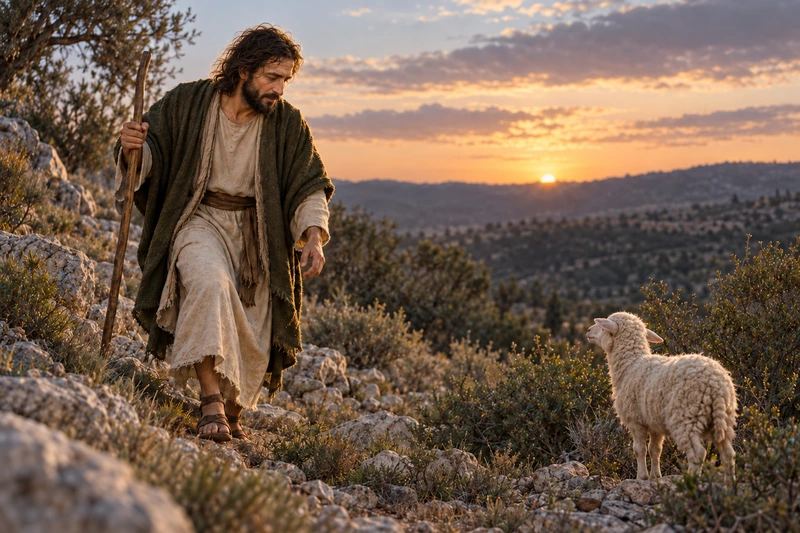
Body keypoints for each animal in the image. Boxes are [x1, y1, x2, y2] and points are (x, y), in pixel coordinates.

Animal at [587, 311, 737, 482]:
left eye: (603, 328)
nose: (588, 331)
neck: (631, 364)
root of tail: (715, 384)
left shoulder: (635, 420)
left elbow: (639, 449)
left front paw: (642, 476)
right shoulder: (654, 422)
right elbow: (655, 450)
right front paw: (656, 476)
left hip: (687, 415)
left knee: (698, 453)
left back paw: (691, 482)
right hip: (725, 418)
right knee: (728, 454)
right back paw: (730, 484)